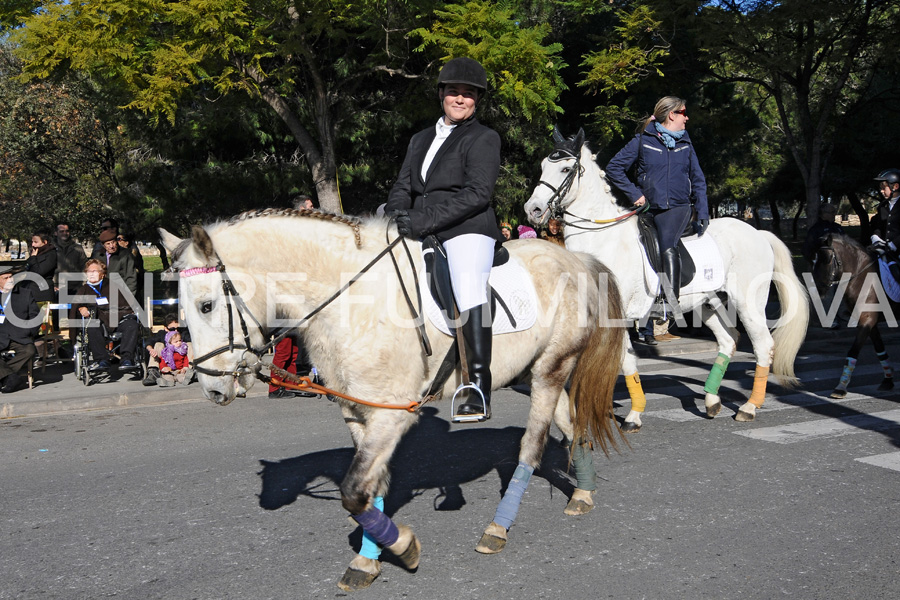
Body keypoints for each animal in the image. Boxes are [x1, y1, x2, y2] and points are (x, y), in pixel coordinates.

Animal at [160, 210, 624, 592]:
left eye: (207, 305)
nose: (213, 390)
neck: (349, 300)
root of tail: (575, 259)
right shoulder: (357, 411)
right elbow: (370, 489)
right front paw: (369, 560)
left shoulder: (392, 413)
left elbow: (352, 492)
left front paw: (402, 547)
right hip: (537, 373)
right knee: (572, 424)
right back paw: (583, 494)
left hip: (550, 371)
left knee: (531, 447)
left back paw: (498, 527)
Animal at [520, 130, 808, 426]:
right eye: (543, 166)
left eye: (566, 169)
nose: (533, 209)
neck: (603, 240)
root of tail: (757, 232)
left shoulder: (617, 316)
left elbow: (623, 360)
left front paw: (633, 415)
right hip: (708, 304)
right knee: (729, 339)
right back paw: (712, 401)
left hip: (748, 303)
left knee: (763, 345)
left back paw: (749, 407)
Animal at [808, 234, 892, 398]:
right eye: (813, 260)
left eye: (827, 258)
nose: (817, 290)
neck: (863, 277)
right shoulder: (869, 320)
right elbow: (880, 349)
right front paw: (888, 380)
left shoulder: (867, 319)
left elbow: (854, 350)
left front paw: (840, 387)